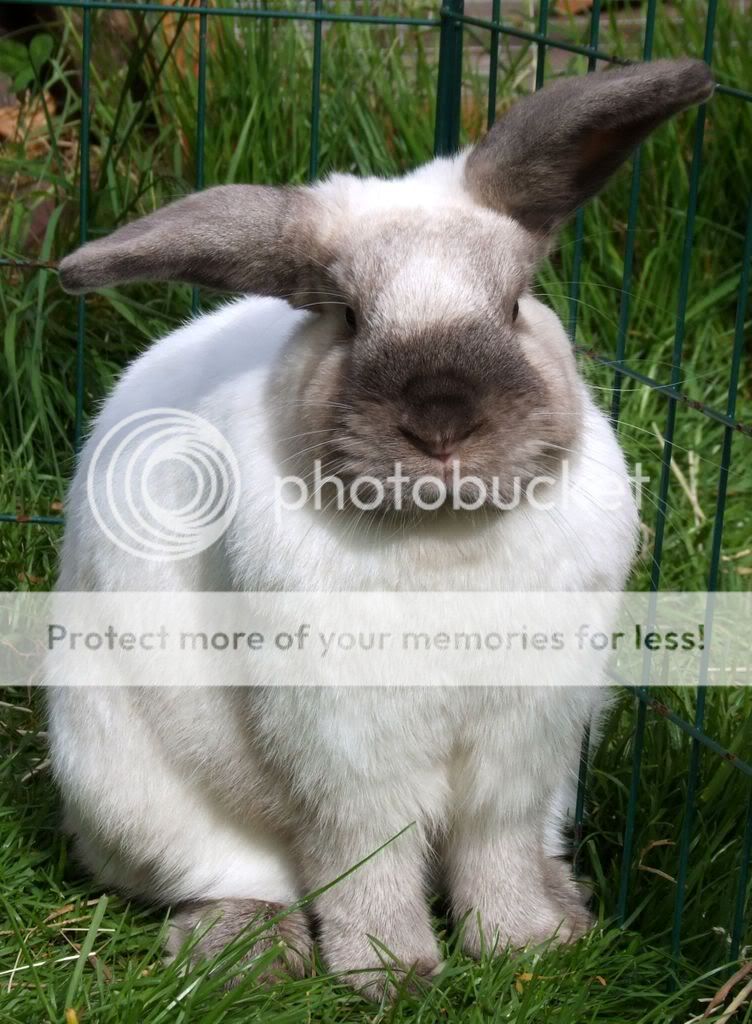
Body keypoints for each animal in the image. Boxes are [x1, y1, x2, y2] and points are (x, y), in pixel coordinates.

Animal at [48, 59, 713, 995]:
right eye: (349, 317)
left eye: (516, 305)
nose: (441, 421)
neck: (447, 539)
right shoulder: (345, 750)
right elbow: (366, 857)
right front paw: (391, 974)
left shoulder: (522, 747)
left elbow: (495, 850)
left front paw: (525, 950)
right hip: (137, 791)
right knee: (230, 877)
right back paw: (248, 953)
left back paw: (567, 907)